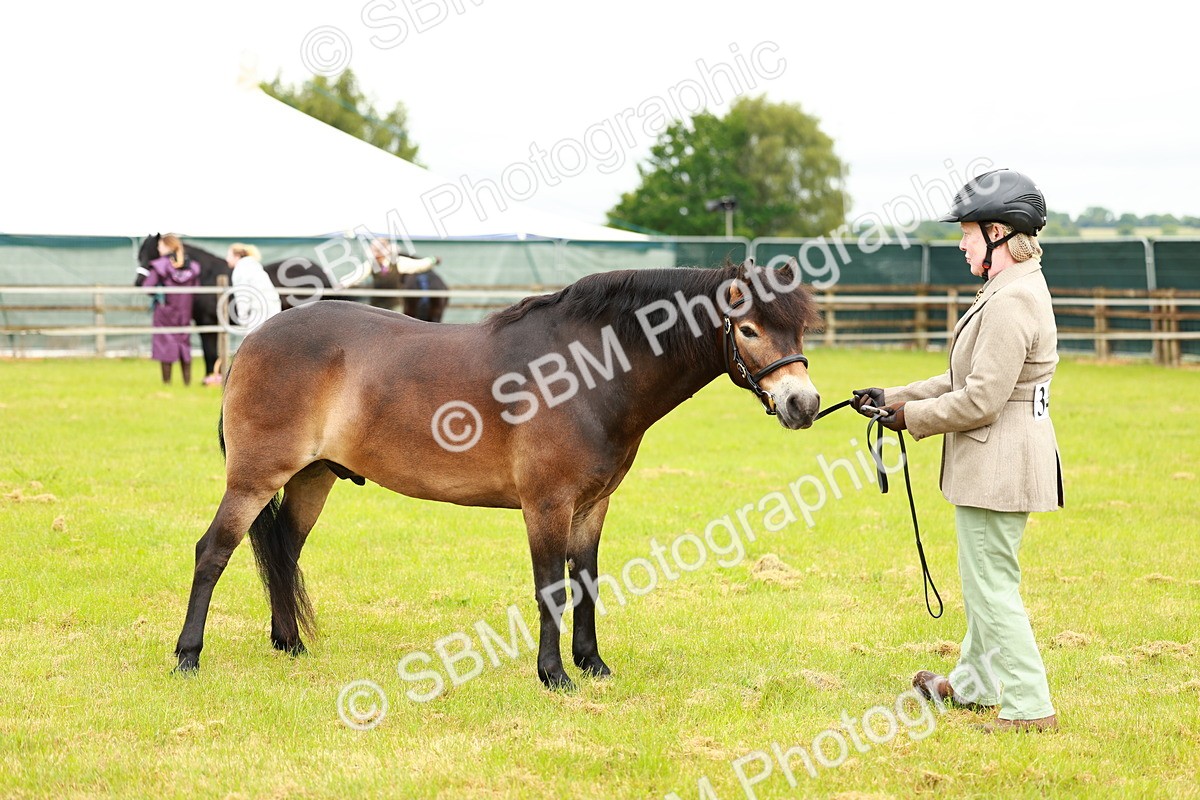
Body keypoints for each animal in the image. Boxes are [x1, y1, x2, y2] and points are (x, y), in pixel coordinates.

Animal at [136, 234, 334, 375]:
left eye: (152, 257)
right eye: (139, 255)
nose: (139, 282)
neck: (206, 275)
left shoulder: (207, 322)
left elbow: (209, 352)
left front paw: (208, 379)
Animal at [172, 259, 823, 690]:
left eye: (799, 330)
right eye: (748, 329)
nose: (805, 403)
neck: (586, 371)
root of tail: (256, 337)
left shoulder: (592, 507)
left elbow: (586, 582)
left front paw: (593, 665)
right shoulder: (547, 506)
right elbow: (552, 588)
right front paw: (554, 675)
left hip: (312, 478)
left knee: (284, 551)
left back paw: (291, 645)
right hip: (253, 479)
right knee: (214, 551)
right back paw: (188, 656)